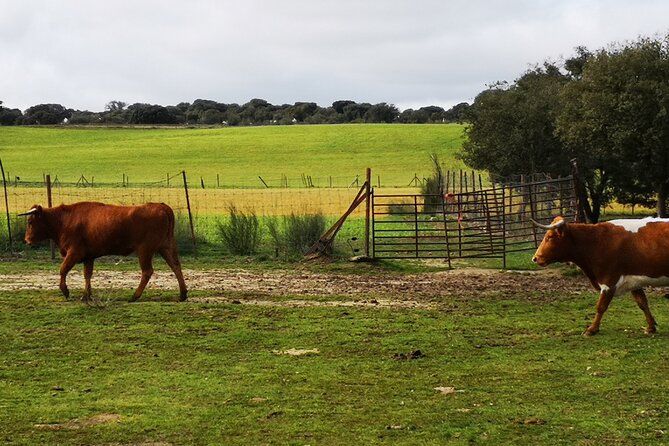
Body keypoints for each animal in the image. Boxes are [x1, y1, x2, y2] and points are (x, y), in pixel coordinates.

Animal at [20, 201, 188, 302]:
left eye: (30, 222)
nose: (27, 240)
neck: (64, 220)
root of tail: (161, 206)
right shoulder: (88, 257)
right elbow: (87, 275)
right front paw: (87, 295)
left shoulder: (74, 253)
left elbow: (63, 270)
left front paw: (65, 291)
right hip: (166, 247)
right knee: (176, 266)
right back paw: (183, 294)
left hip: (145, 250)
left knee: (147, 271)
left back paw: (135, 296)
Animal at [532, 215, 669, 335]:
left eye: (550, 237)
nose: (535, 258)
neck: (596, 241)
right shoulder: (634, 281)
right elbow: (643, 303)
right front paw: (651, 327)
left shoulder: (609, 281)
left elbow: (600, 306)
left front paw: (591, 329)